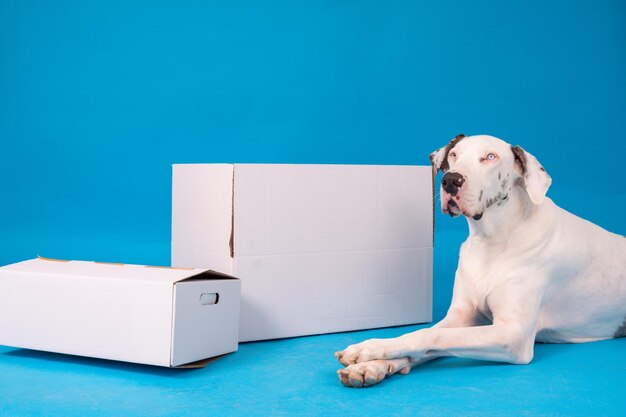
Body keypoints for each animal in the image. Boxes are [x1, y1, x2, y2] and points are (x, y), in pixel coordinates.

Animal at [336, 133, 624, 386]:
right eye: (453, 154)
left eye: (490, 157)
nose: (451, 180)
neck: (491, 241)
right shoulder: (462, 316)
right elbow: (425, 333)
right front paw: (371, 364)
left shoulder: (512, 334)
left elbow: (435, 336)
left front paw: (369, 350)